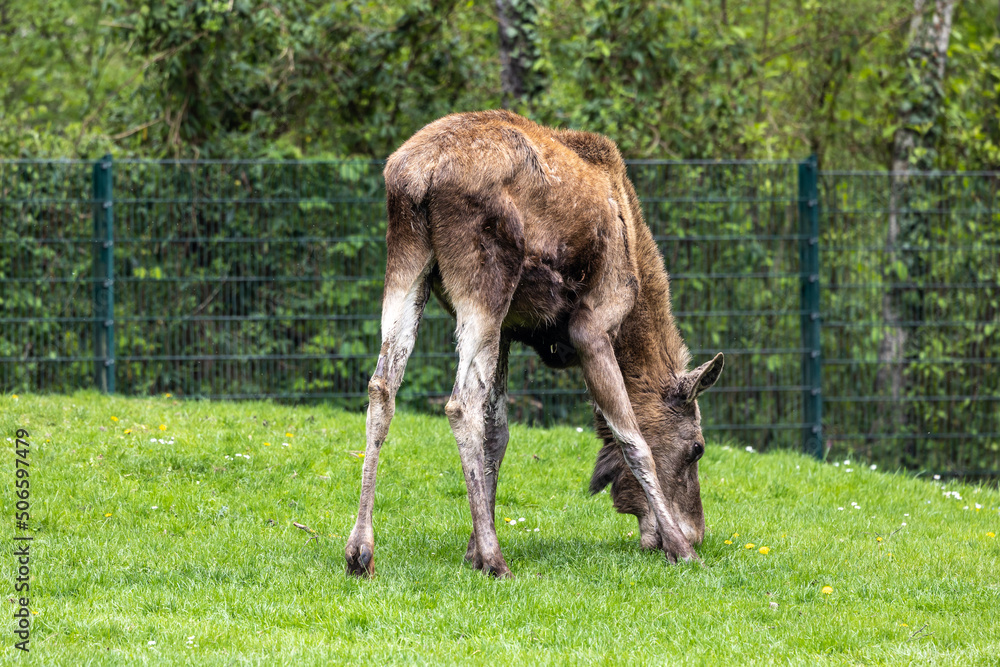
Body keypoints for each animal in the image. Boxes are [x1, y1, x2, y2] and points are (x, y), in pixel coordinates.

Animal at [345, 110, 724, 578]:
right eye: (697, 448)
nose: (698, 533)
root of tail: (418, 175)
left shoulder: (509, 330)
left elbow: (499, 435)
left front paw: (472, 547)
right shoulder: (594, 324)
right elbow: (633, 439)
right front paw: (681, 549)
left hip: (407, 263)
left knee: (382, 386)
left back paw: (360, 551)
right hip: (487, 278)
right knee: (459, 404)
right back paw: (496, 560)